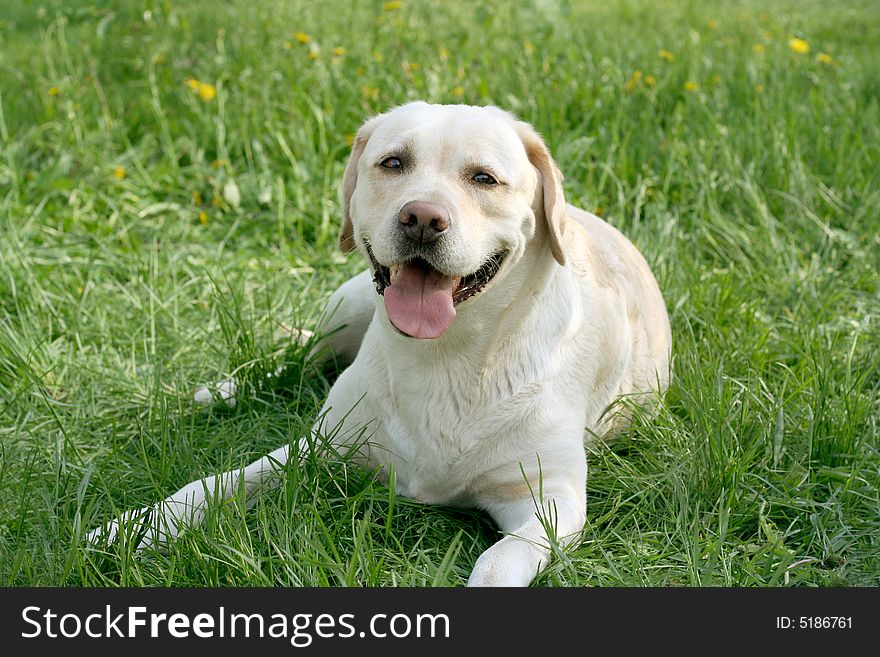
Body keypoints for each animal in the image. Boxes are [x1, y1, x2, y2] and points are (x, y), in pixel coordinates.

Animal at [87, 101, 668, 584]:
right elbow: (211, 485)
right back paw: (226, 391)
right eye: (393, 163)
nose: (422, 218)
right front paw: (124, 530)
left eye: (484, 178)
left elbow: (497, 561)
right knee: (296, 361)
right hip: (346, 307)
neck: (444, 356)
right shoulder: (318, 447)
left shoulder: (552, 502)